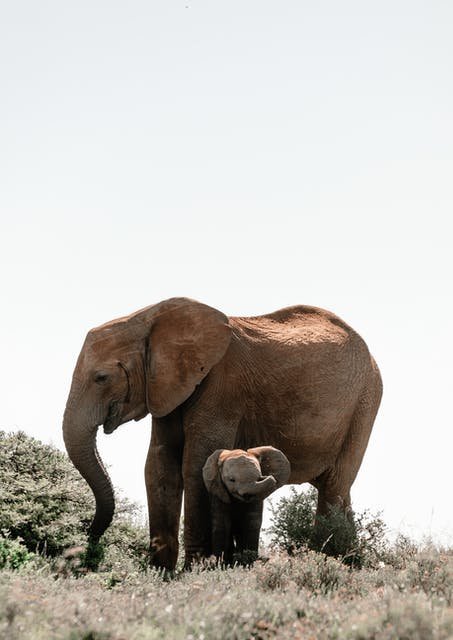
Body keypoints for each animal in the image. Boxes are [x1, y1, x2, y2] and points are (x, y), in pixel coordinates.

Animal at [61, 298, 382, 568]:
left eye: (101, 378)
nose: (89, 538)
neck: (148, 319)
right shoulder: (166, 388)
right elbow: (159, 466)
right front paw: (159, 574)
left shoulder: (222, 385)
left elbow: (193, 464)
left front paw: (194, 571)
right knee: (339, 489)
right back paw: (351, 563)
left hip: (365, 402)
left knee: (334, 487)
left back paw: (329, 563)